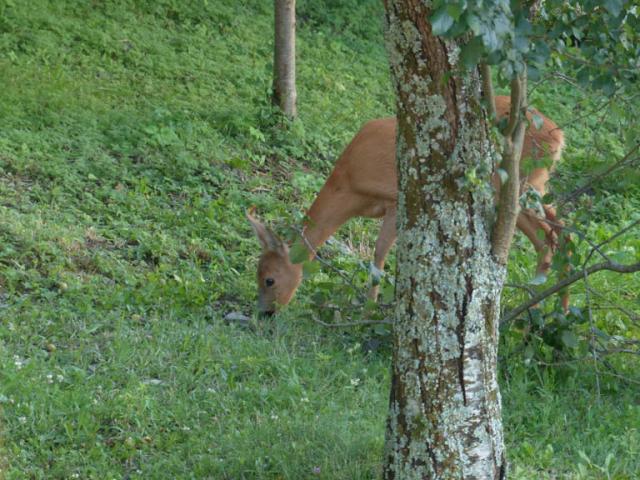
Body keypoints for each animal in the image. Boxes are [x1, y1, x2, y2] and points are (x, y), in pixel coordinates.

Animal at [248, 96, 568, 316]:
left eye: (269, 280)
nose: (265, 313)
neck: (350, 182)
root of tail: (558, 136)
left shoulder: (394, 199)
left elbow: (378, 256)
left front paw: (369, 310)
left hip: (517, 182)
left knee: (555, 233)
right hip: (529, 188)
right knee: (554, 233)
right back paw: (546, 310)